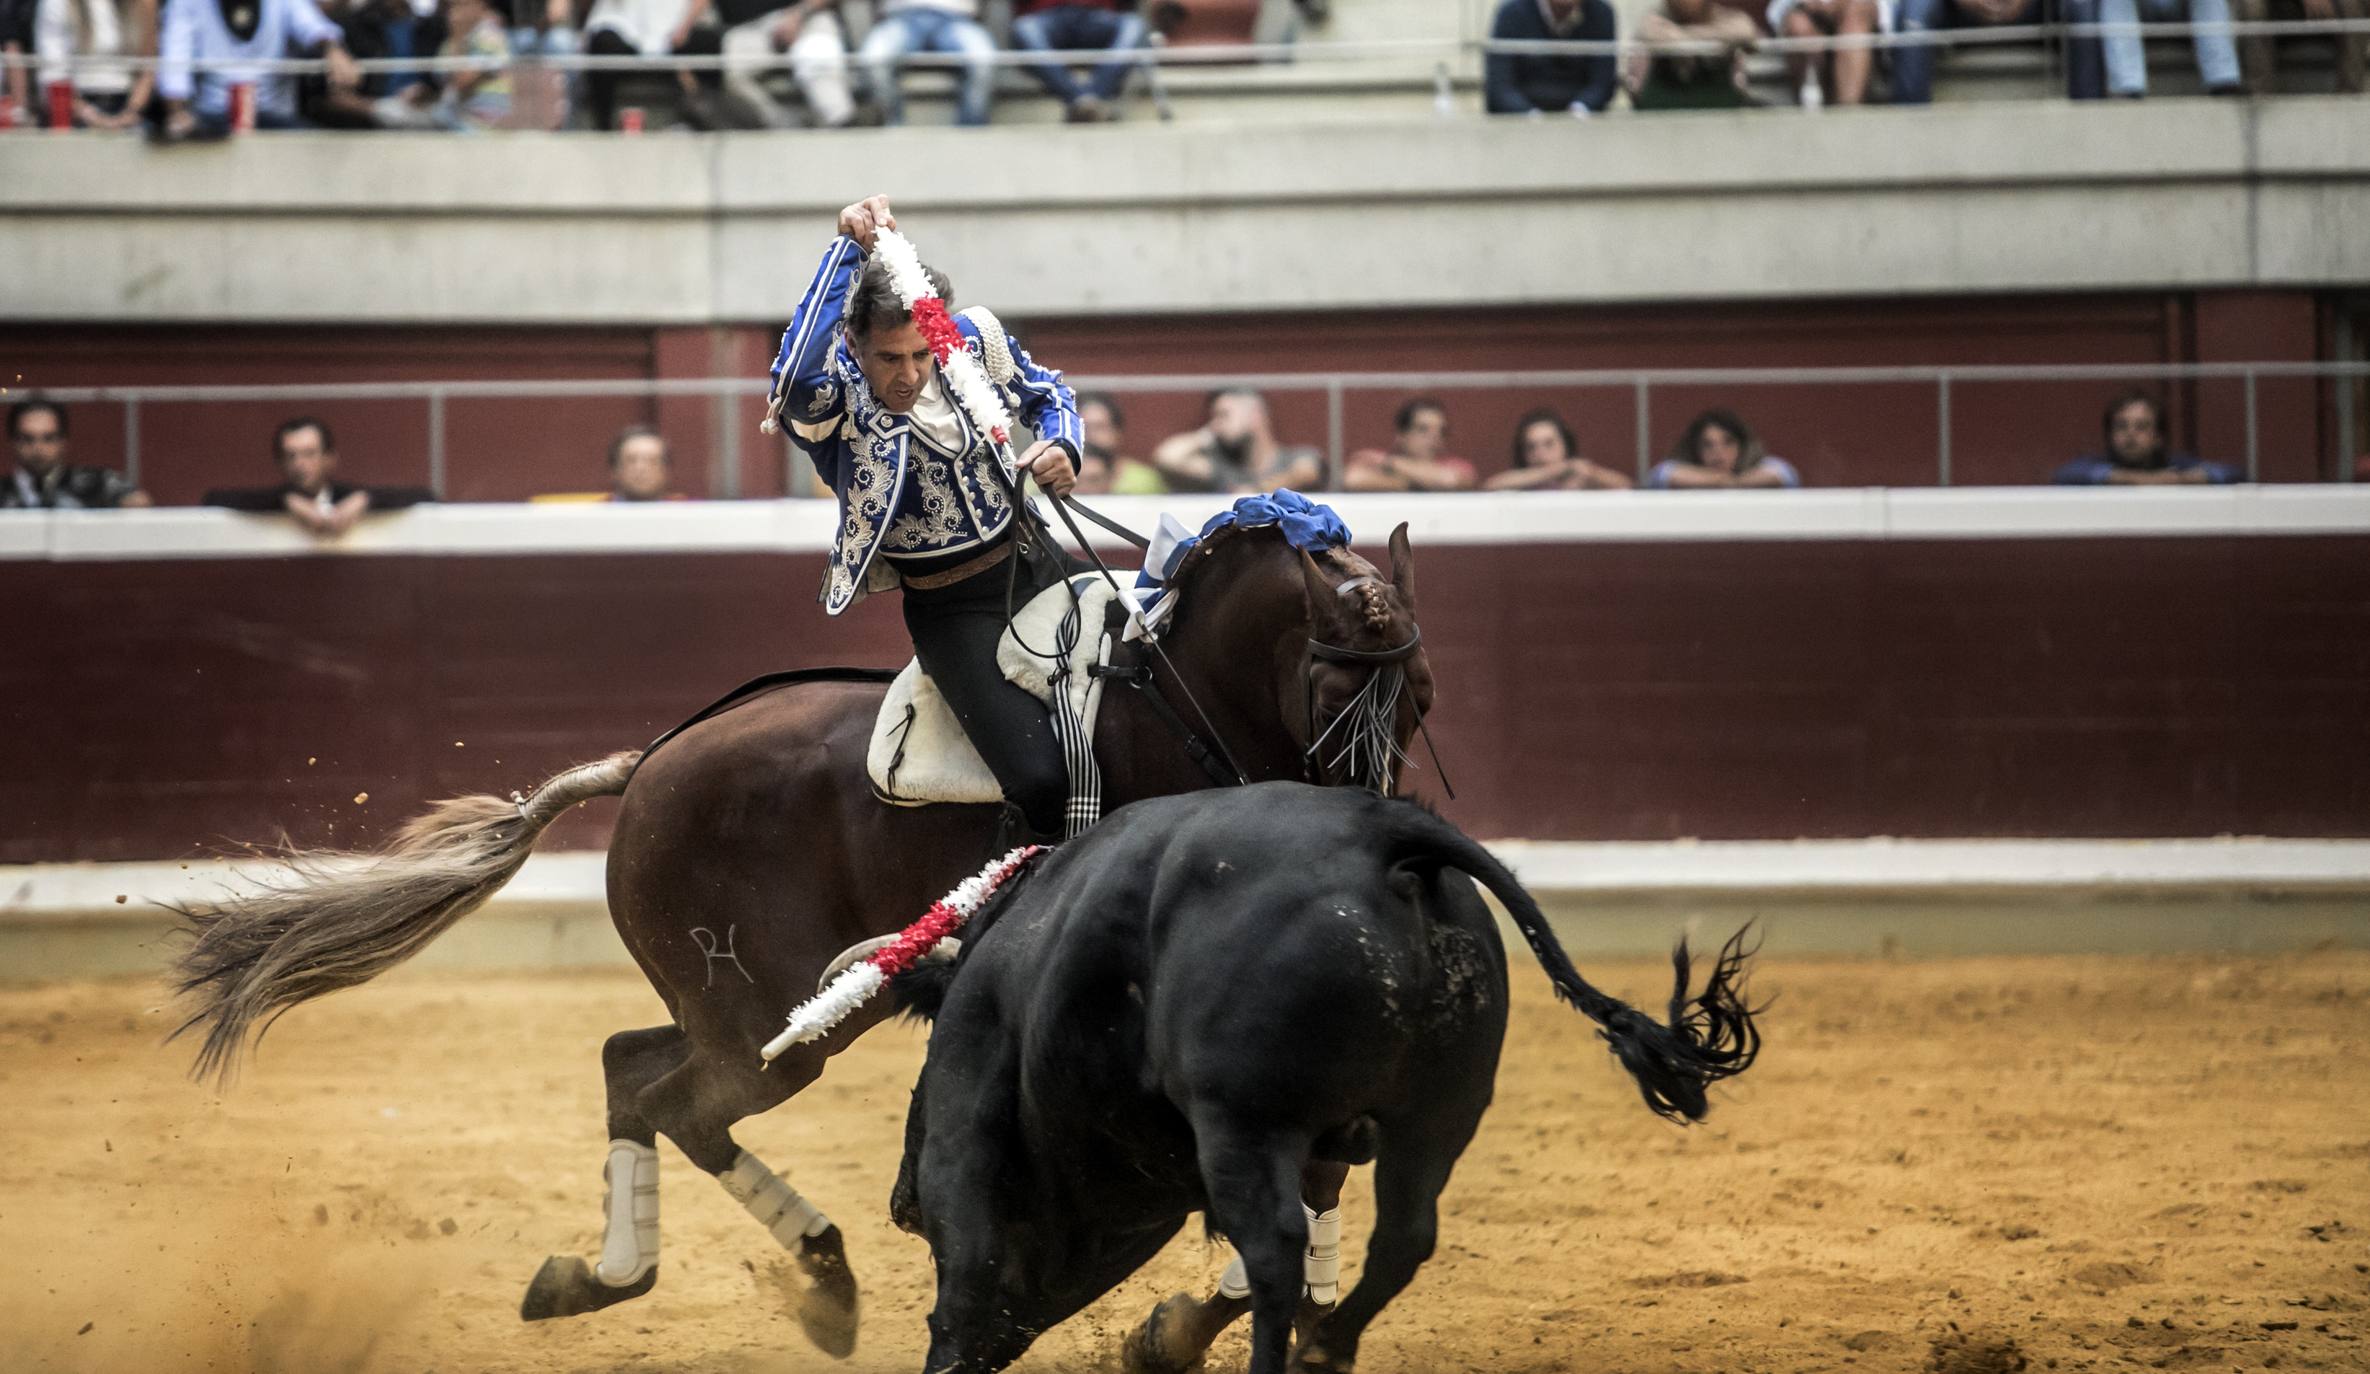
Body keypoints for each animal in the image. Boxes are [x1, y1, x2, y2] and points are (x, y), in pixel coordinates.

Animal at [171, 511, 1421, 1355]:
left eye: (1420, 706)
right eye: (1337, 689)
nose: (1375, 837)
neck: (1180, 712)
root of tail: (651, 763)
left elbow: (1314, 1171)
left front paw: (1262, 1317)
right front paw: (1201, 1326)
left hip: (743, 1006)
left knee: (631, 1068)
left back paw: (611, 1278)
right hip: (769, 1025)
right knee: (677, 1100)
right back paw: (819, 1284)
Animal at [891, 781, 1763, 1374]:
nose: (900, 1205)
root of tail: (1387, 835)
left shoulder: (968, 1119)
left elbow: (967, 1273)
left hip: (1245, 1123)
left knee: (1278, 1247)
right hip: (1438, 1118)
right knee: (1403, 1238)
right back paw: (1325, 1348)